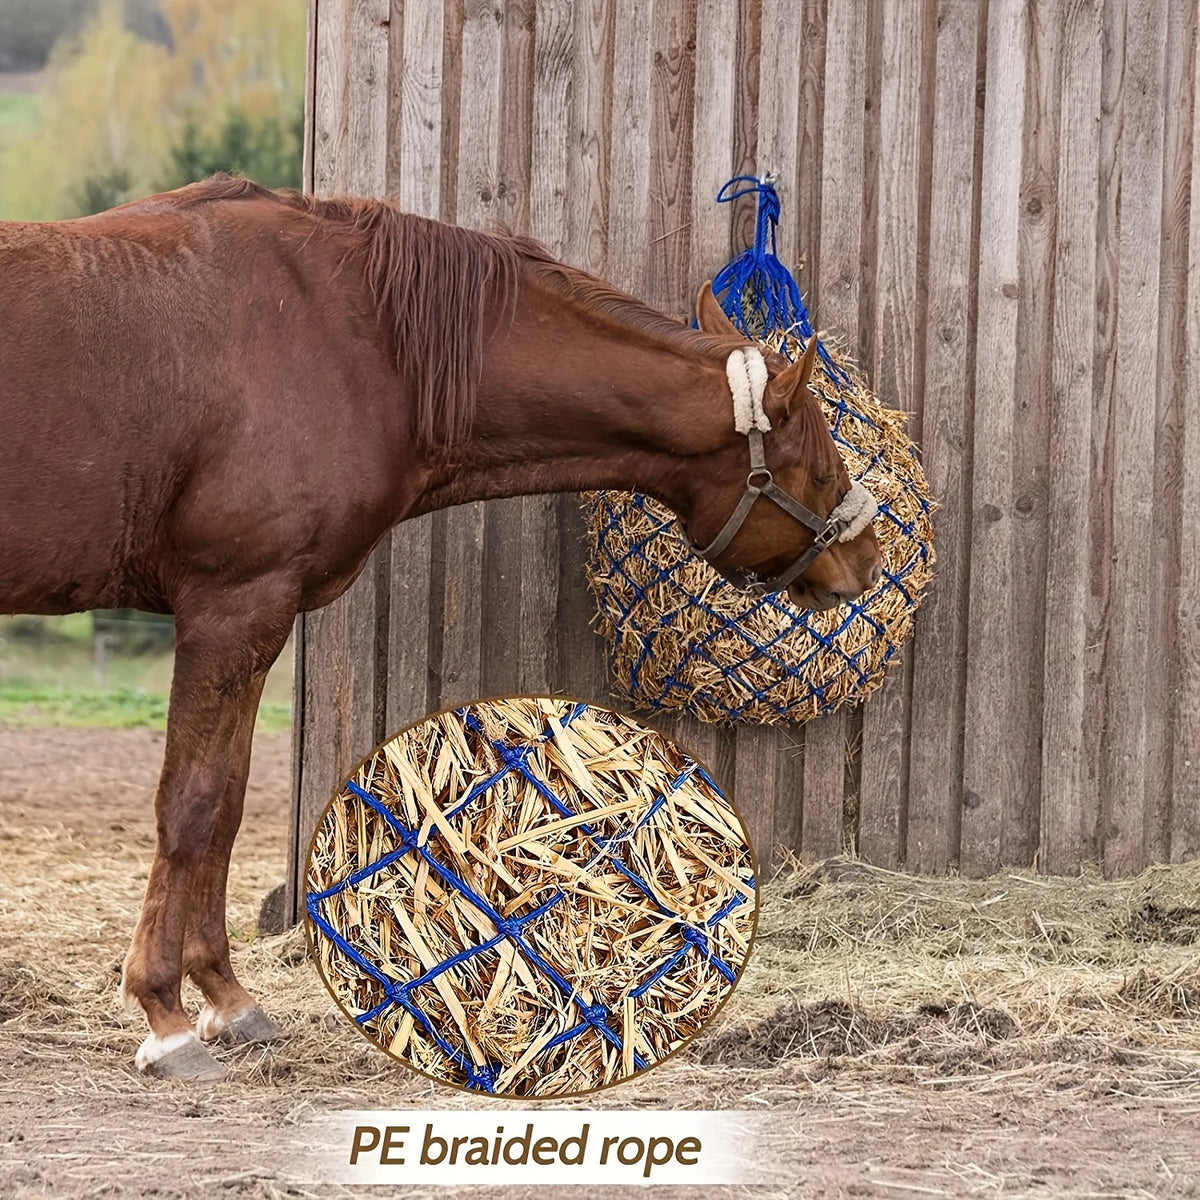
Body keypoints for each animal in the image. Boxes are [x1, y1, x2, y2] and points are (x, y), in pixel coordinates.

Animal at [0, 175, 881, 1080]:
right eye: (819, 466)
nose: (867, 562)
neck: (356, 339)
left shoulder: (251, 621)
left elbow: (230, 801)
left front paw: (227, 1000)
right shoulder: (231, 605)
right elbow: (193, 805)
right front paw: (165, 1017)